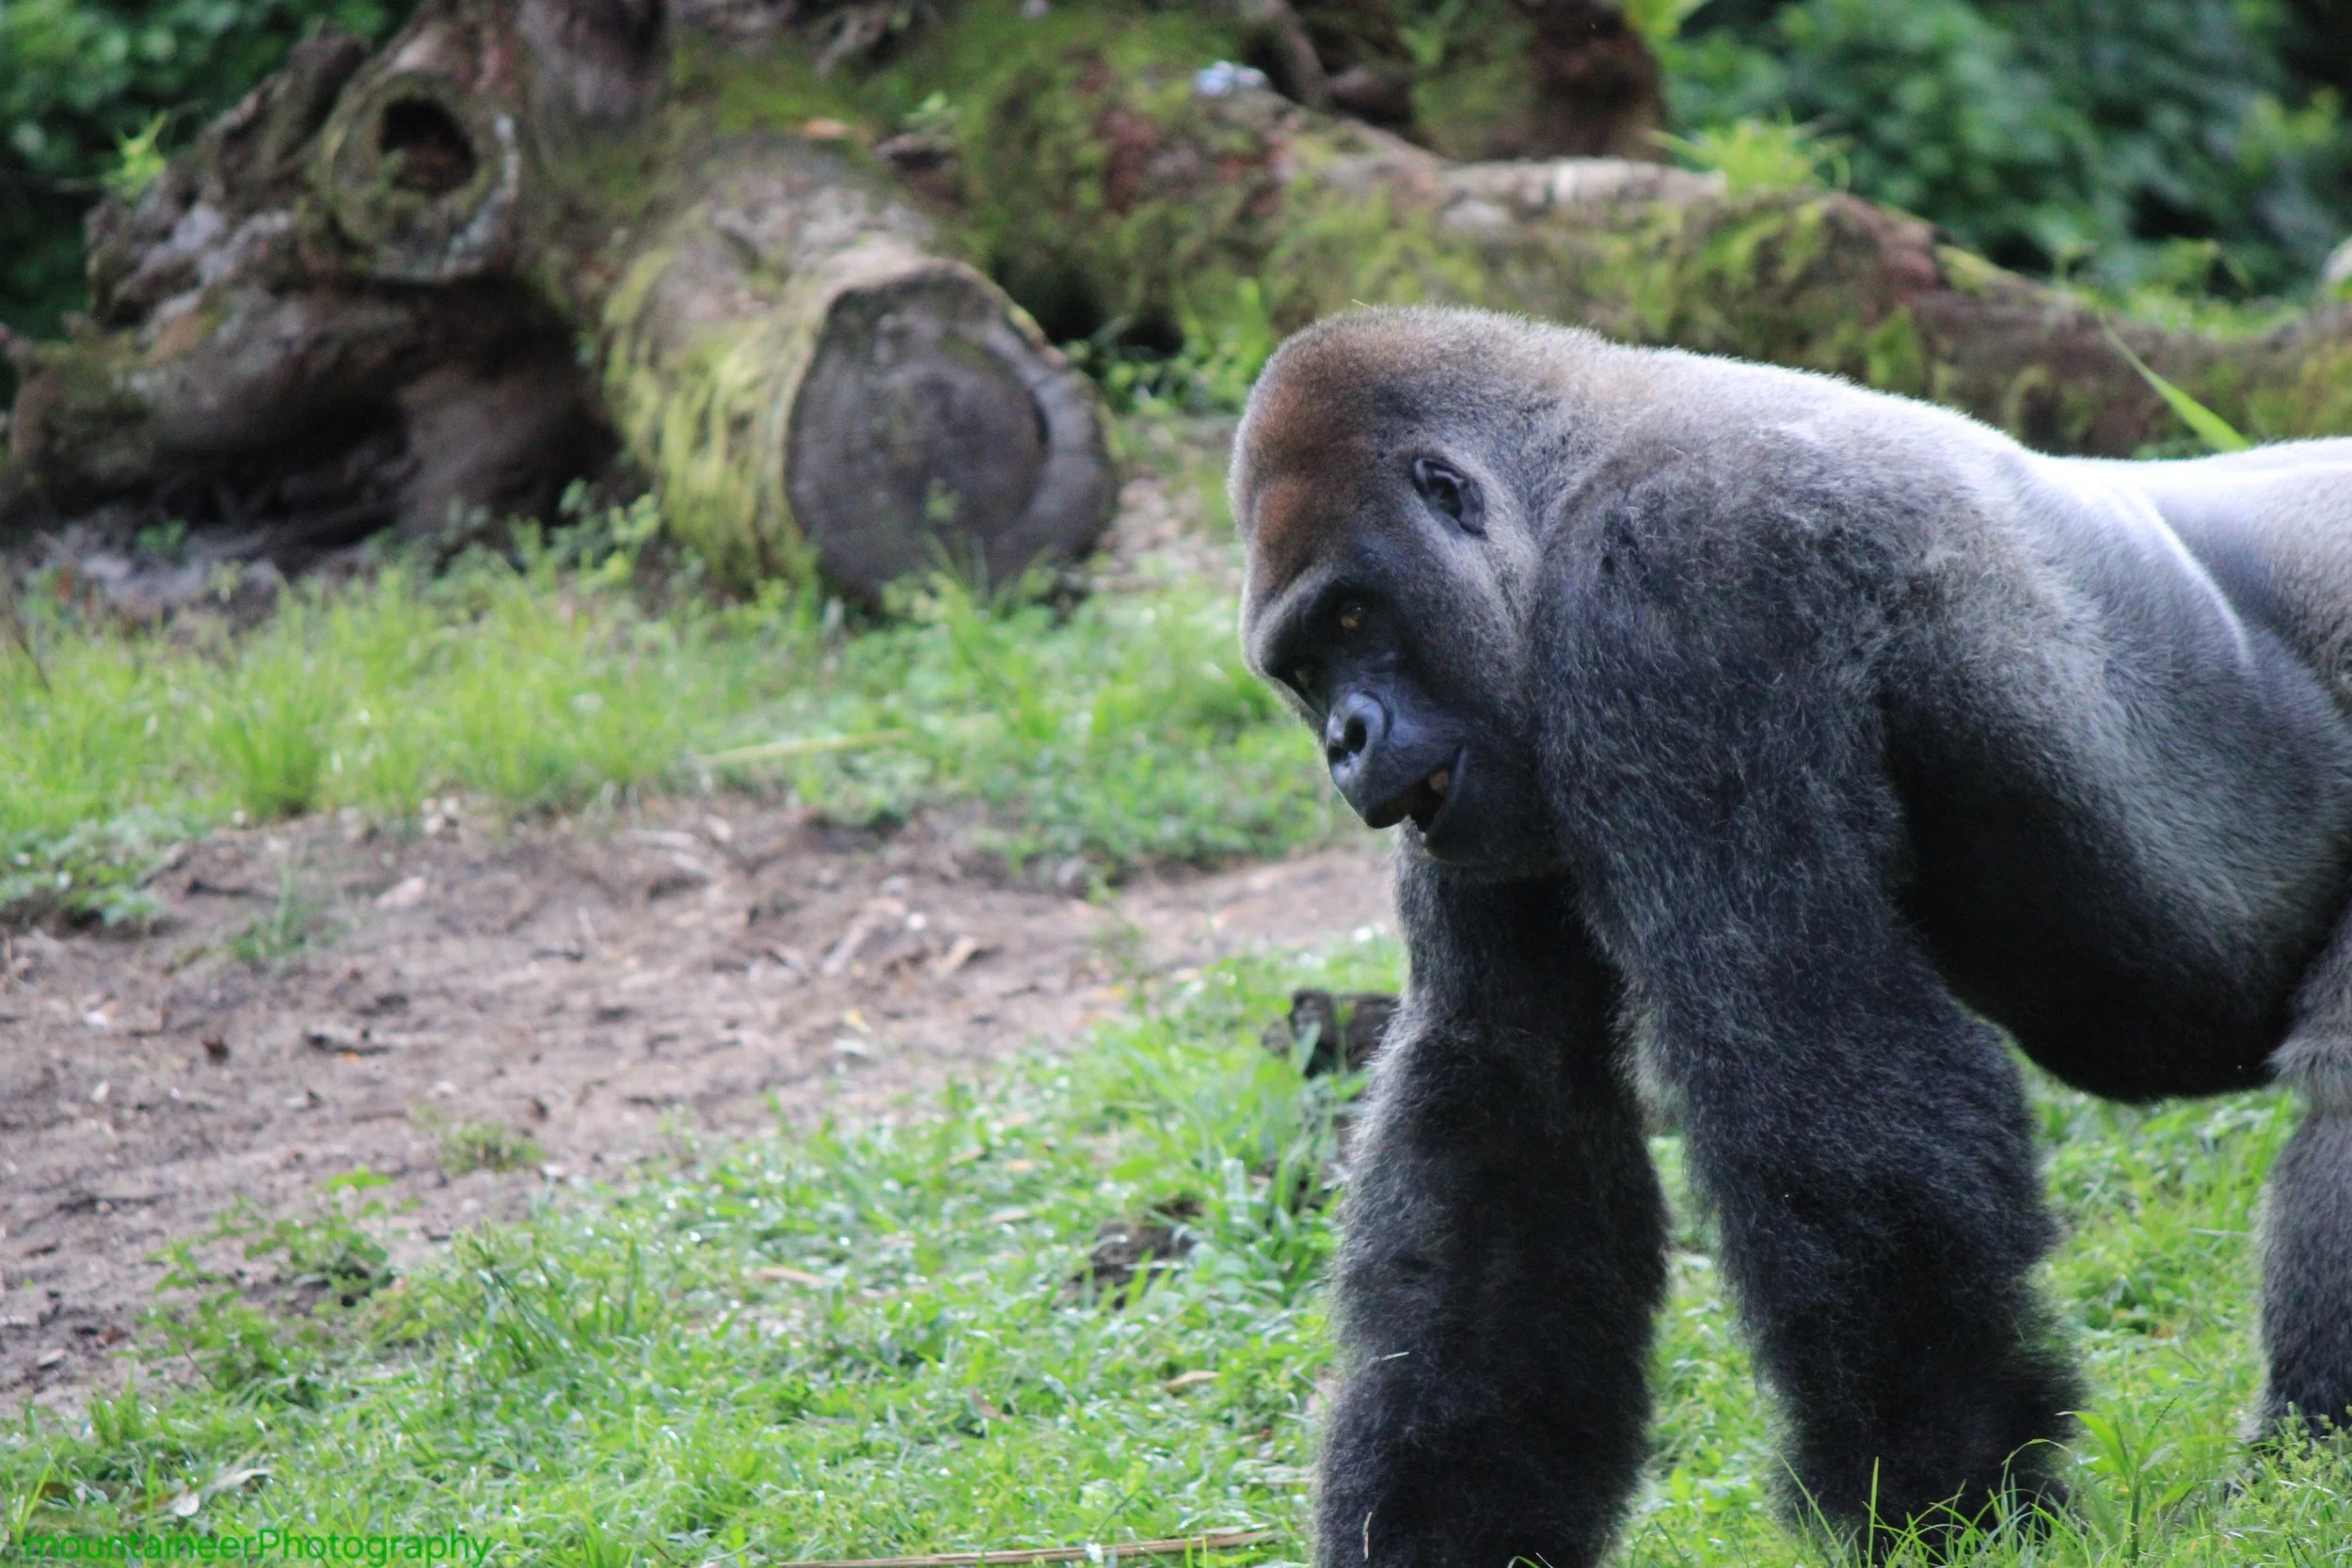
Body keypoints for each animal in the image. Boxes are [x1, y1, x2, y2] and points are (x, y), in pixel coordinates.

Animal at [1229, 304, 2352, 1566]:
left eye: (1354, 613)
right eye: (1305, 668)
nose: (1345, 739)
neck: (1566, 477)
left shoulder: (1682, 595)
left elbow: (1810, 1057)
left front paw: (1945, 1498)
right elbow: (1506, 1110)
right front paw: (1450, 1521)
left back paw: (2306, 1454)